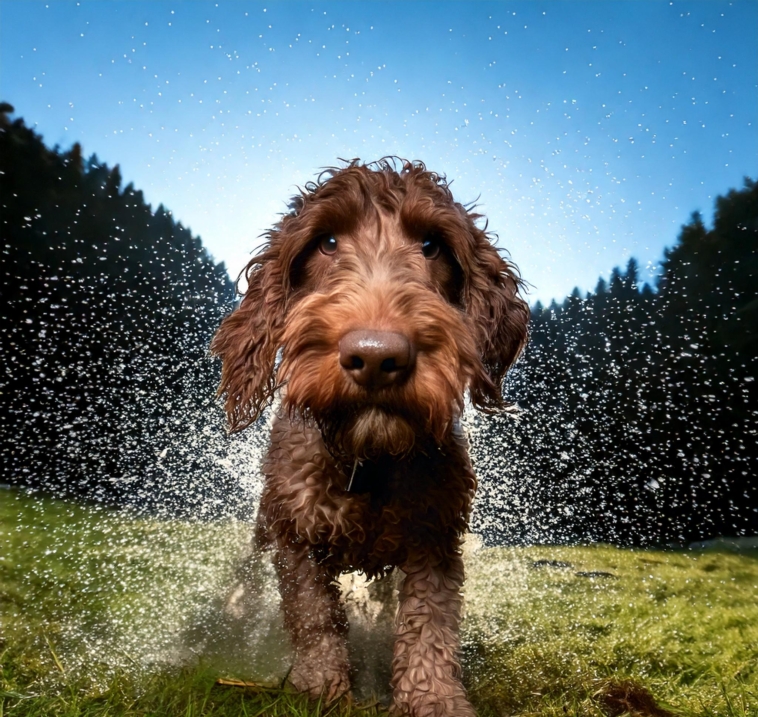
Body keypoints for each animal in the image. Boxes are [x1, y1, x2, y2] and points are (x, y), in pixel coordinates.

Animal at [211, 159, 532, 712]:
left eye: (432, 245)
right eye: (327, 242)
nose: (377, 357)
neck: (369, 458)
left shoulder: (434, 537)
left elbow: (429, 624)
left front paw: (433, 699)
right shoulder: (295, 536)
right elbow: (313, 615)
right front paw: (322, 687)